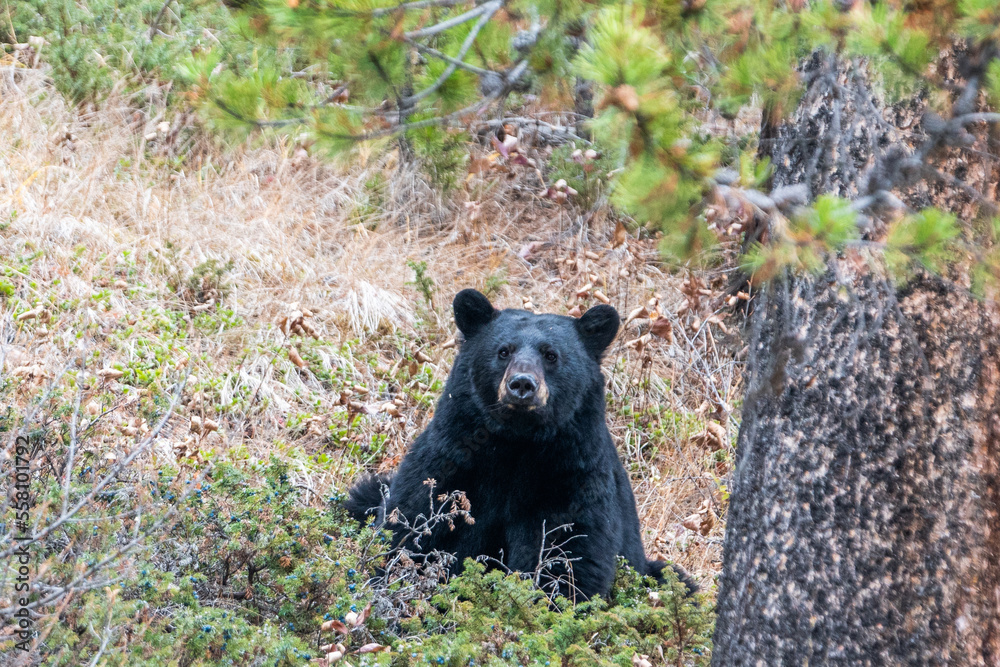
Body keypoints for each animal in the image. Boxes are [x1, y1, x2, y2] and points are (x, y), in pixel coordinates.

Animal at [346, 290, 696, 604]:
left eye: (551, 355)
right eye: (503, 351)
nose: (522, 384)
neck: (515, 444)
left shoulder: (572, 475)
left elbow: (571, 551)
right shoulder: (449, 458)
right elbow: (410, 519)